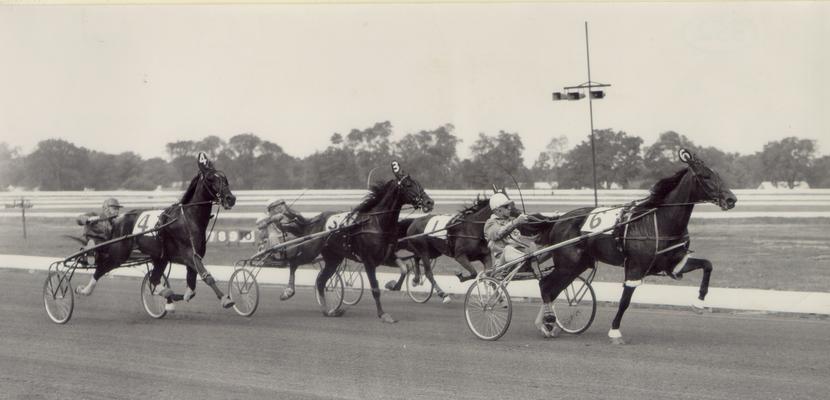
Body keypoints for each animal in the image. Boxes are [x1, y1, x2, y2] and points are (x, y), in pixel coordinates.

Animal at [71, 152, 237, 310]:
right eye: (210, 178)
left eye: (224, 178)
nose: (231, 198)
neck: (187, 219)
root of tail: (118, 220)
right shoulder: (189, 254)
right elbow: (205, 276)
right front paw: (226, 299)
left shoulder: (194, 255)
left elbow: (191, 287)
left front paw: (175, 297)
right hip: (119, 254)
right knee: (101, 268)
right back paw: (84, 290)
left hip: (159, 257)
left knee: (154, 278)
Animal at [316, 161, 436, 324]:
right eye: (408, 184)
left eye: (419, 183)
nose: (429, 202)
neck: (378, 223)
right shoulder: (368, 261)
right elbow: (375, 288)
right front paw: (383, 314)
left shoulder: (388, 256)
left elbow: (404, 269)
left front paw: (392, 285)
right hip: (331, 258)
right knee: (321, 281)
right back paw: (327, 309)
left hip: (334, 259)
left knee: (321, 281)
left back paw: (328, 310)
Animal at [524, 148, 736, 342]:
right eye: (705, 176)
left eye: (717, 174)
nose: (731, 199)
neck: (660, 221)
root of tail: (558, 220)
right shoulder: (635, 268)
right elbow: (625, 300)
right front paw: (615, 332)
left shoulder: (674, 263)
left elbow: (707, 265)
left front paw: (699, 303)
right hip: (567, 263)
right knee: (545, 285)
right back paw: (548, 321)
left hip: (577, 265)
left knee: (552, 289)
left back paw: (547, 325)